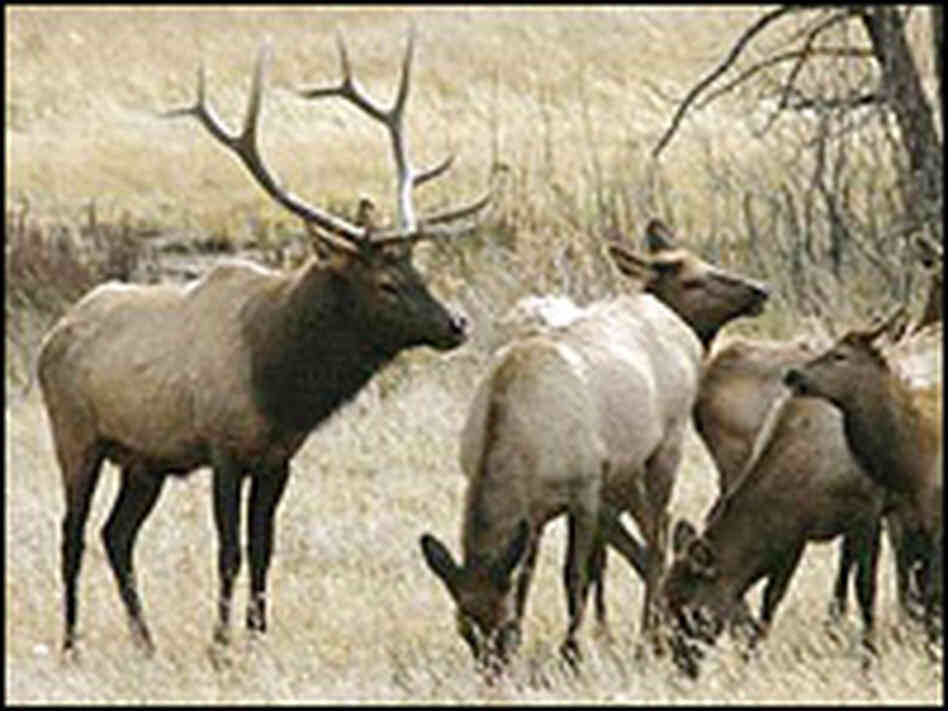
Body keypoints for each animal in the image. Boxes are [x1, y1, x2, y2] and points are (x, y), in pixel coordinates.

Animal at [38, 29, 499, 659]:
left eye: (418, 268)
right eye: (386, 282)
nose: (456, 323)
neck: (281, 383)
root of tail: (51, 338)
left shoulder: (279, 456)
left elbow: (263, 549)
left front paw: (258, 637)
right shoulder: (224, 446)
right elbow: (229, 551)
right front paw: (221, 645)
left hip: (145, 460)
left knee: (117, 534)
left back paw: (145, 639)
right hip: (76, 435)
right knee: (73, 534)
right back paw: (70, 642)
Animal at [419, 219, 769, 672]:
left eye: (501, 626)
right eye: (465, 631)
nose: (493, 673)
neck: (517, 443)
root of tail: (671, 320)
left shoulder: (585, 490)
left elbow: (575, 575)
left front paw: (572, 654)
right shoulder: (534, 513)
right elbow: (525, 576)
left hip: (666, 446)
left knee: (657, 539)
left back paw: (648, 636)